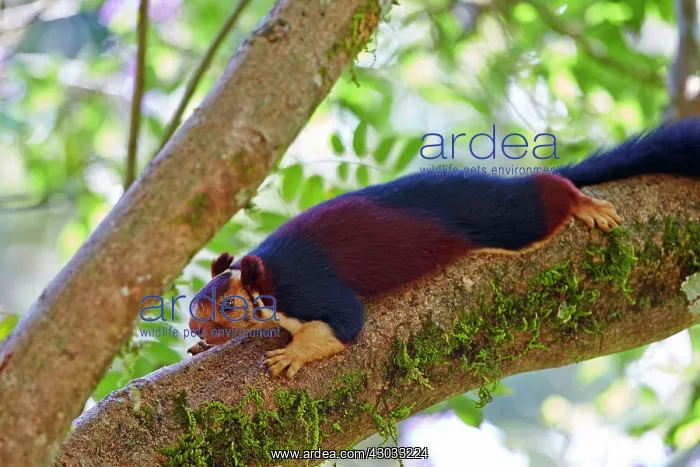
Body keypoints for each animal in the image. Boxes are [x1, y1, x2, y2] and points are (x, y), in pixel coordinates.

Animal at [187, 118, 700, 379]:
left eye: (229, 306)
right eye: (194, 303)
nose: (195, 326)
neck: (267, 277)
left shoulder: (308, 287)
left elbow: (346, 325)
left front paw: (292, 354)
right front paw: (198, 347)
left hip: (498, 217)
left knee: (540, 198)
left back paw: (580, 200)